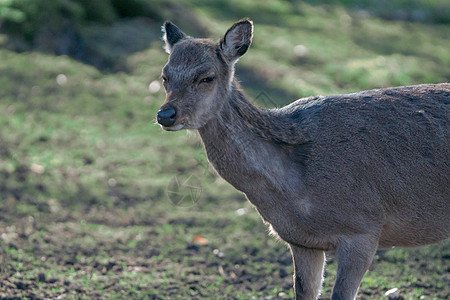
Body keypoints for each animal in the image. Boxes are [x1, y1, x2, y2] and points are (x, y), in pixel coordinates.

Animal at [156, 19, 450, 300]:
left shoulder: (365, 228)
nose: (165, 115)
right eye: (165, 76)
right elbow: (303, 291)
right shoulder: (301, 241)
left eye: (207, 77)